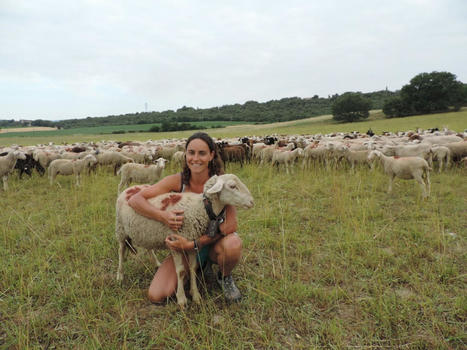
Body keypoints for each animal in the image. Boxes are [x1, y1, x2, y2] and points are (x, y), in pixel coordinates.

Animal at [117, 174, 256, 308]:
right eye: (232, 186)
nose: (252, 201)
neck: (201, 207)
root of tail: (132, 188)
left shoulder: (192, 241)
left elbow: (193, 267)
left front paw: (195, 295)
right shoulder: (173, 242)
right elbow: (181, 271)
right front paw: (181, 299)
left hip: (145, 231)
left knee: (148, 247)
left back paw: (156, 264)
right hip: (120, 229)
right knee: (121, 251)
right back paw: (120, 276)